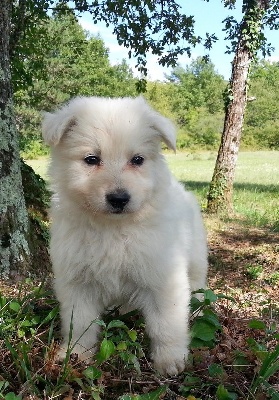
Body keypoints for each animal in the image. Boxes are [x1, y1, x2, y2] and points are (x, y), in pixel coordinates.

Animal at [41, 96, 208, 376]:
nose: (119, 199)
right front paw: (75, 355)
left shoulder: (163, 277)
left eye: (137, 159)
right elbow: (81, 323)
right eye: (91, 159)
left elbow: (167, 324)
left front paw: (170, 360)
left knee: (197, 284)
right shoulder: (77, 282)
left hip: (195, 257)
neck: (113, 228)